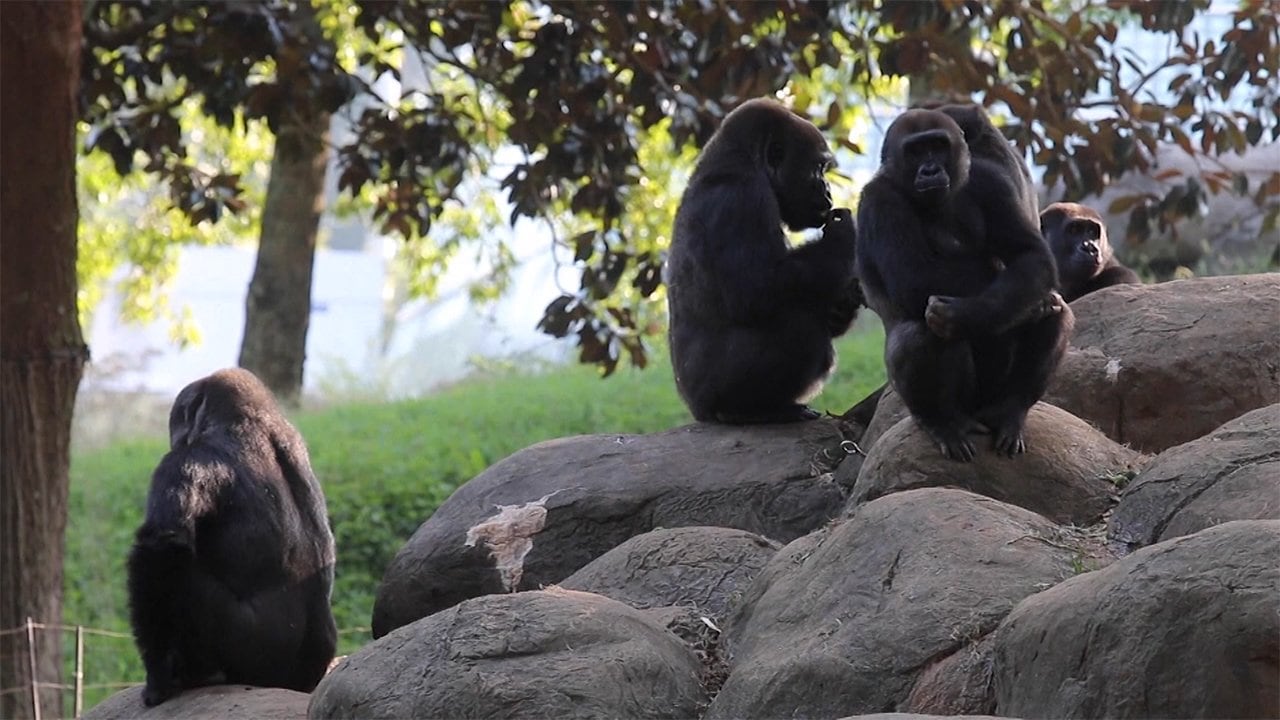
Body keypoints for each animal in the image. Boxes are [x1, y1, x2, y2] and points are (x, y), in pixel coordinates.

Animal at [127, 366, 337, 702]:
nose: (174, 439)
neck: (251, 418)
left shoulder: (184, 461)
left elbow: (161, 548)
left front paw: (157, 675)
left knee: (177, 574)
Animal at [665, 96, 865, 420]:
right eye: (818, 168)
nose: (827, 191)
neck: (741, 158)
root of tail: (695, 409)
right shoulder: (743, 197)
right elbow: (758, 288)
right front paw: (843, 235)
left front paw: (843, 304)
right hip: (711, 396)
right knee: (802, 326)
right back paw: (752, 410)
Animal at [855, 110, 1075, 461]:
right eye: (916, 151)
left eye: (937, 146)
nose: (930, 169)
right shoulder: (879, 200)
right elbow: (915, 277)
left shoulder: (991, 182)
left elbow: (1031, 257)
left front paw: (973, 313)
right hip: (961, 407)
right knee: (916, 334)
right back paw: (941, 421)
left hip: (991, 400)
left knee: (1054, 314)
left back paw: (1011, 410)